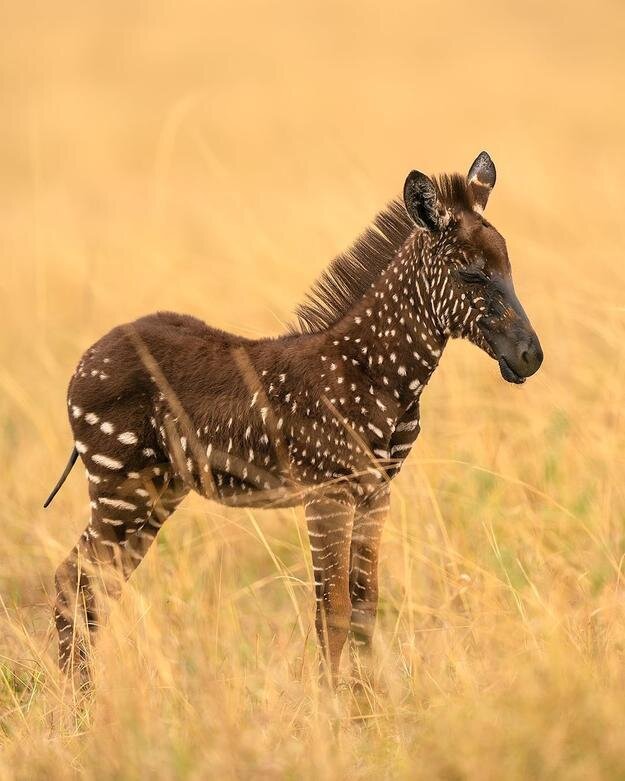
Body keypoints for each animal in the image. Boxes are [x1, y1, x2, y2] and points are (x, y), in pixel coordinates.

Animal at [45, 151, 540, 684]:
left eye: (510, 268)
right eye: (471, 274)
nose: (532, 357)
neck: (376, 372)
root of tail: (89, 357)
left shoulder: (377, 493)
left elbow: (365, 610)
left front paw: (367, 702)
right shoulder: (330, 493)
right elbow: (333, 614)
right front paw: (332, 705)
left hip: (159, 492)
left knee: (95, 586)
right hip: (121, 487)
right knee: (74, 581)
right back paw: (77, 705)